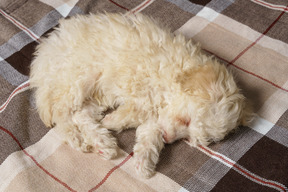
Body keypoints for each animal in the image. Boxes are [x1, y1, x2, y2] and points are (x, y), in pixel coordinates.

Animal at [29, 13, 253, 178]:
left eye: (191, 138)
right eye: (186, 121)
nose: (169, 139)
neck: (177, 74)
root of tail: (44, 54)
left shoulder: (158, 118)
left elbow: (149, 135)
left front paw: (143, 163)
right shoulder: (141, 82)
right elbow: (138, 111)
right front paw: (114, 120)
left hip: (93, 93)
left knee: (80, 114)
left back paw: (103, 142)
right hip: (78, 78)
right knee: (61, 113)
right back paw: (77, 137)